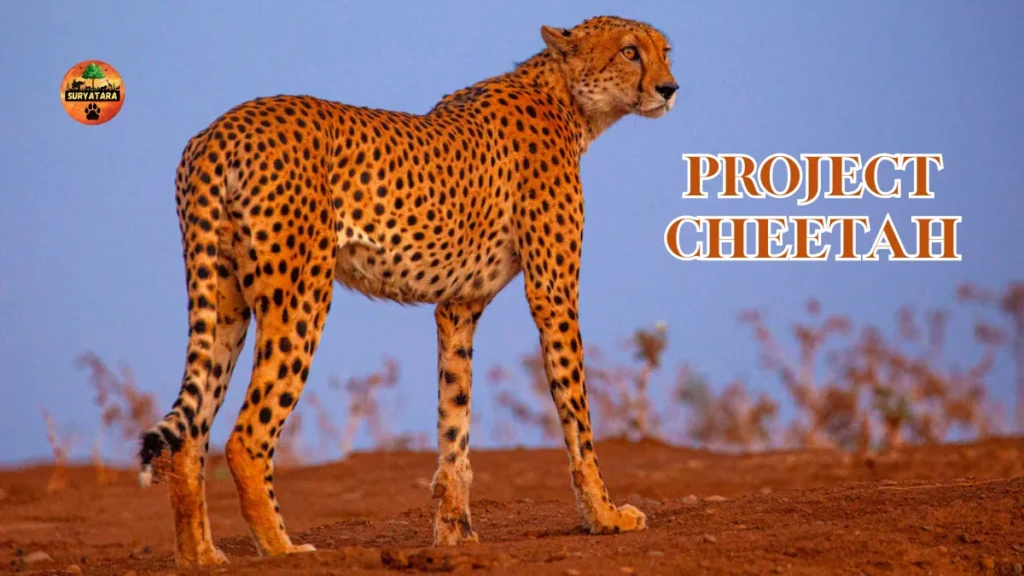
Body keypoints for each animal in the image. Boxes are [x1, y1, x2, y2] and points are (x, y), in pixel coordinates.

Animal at [136, 14, 678, 566]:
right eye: (630, 51)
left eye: (665, 51)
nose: (669, 88)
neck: (567, 99)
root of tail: (222, 127)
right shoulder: (553, 293)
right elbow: (577, 413)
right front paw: (605, 516)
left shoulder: (458, 305)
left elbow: (454, 418)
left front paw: (455, 534)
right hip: (301, 294)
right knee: (247, 435)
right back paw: (283, 547)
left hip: (225, 302)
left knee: (190, 435)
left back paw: (200, 556)